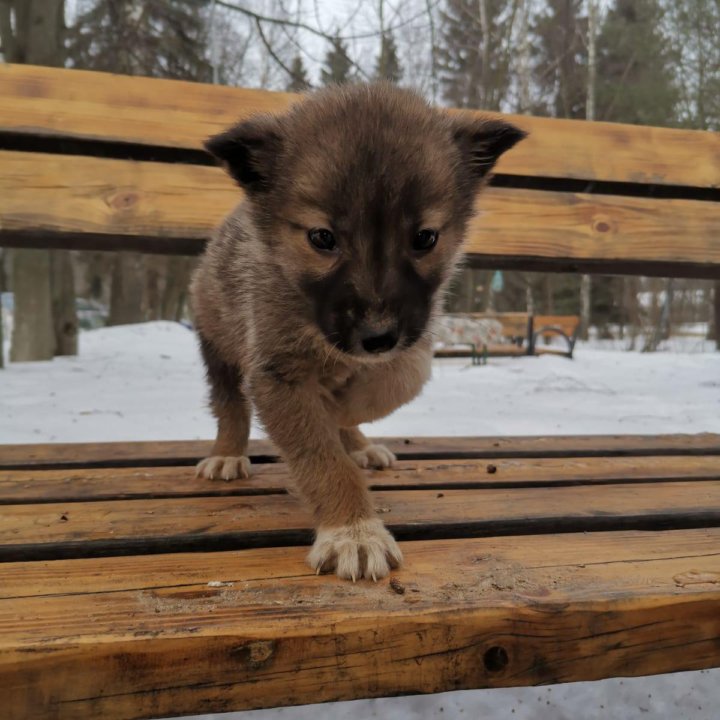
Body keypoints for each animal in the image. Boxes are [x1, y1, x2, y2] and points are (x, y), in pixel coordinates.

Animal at [190, 83, 524, 580]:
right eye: (322, 238)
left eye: (425, 238)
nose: (377, 337)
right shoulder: (276, 369)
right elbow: (322, 456)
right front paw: (352, 531)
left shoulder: (416, 334)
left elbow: (400, 380)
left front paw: (343, 413)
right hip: (218, 341)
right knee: (229, 404)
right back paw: (228, 452)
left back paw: (357, 439)